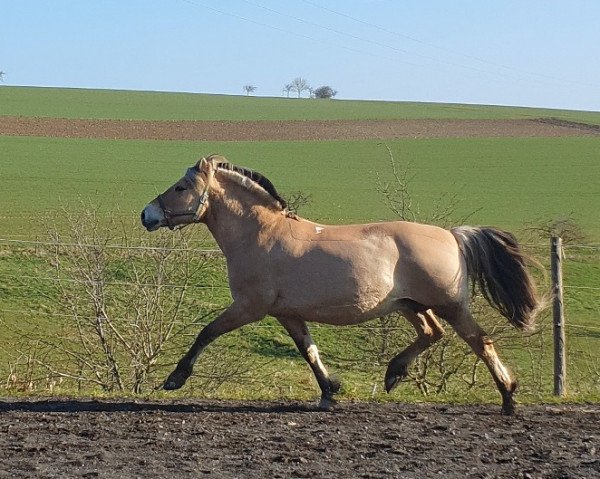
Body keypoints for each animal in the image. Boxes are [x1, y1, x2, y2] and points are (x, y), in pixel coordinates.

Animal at [141, 156, 540, 414]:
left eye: (180, 187)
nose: (147, 215)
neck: (260, 236)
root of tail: (453, 235)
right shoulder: (287, 313)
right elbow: (309, 351)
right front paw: (330, 392)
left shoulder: (250, 307)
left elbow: (206, 333)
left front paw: (175, 379)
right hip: (409, 304)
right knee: (432, 333)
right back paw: (394, 374)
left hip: (449, 305)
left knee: (480, 341)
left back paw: (508, 397)